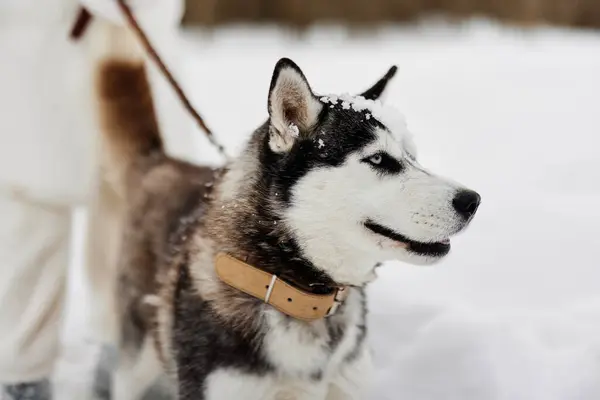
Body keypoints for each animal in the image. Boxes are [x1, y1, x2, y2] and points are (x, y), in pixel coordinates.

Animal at [97, 45, 482, 398]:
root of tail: (160, 162)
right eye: (377, 159)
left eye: (412, 156)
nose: (472, 201)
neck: (290, 287)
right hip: (137, 359)